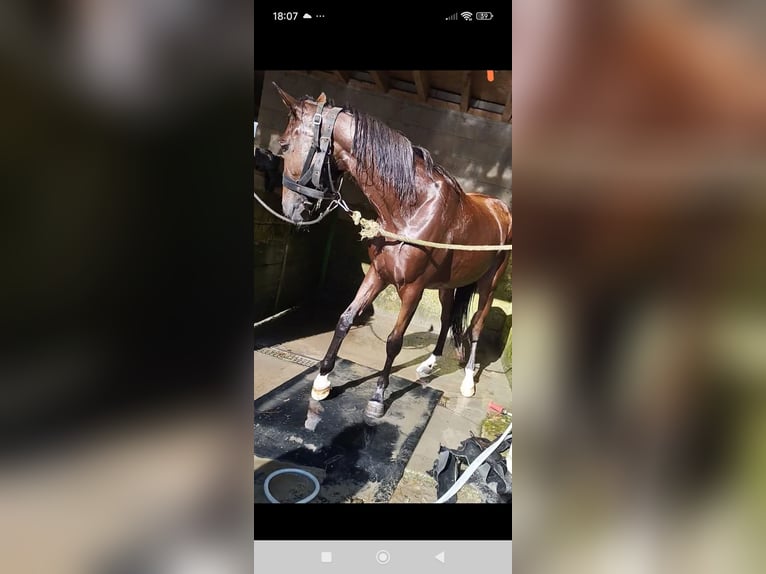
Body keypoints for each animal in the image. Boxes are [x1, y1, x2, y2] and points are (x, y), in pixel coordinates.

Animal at [272, 83, 512, 418]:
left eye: (284, 145)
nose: (290, 209)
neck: (409, 210)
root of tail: (500, 208)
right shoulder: (377, 273)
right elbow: (345, 319)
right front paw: (322, 381)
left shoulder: (412, 289)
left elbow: (394, 341)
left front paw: (378, 395)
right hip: (446, 285)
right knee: (448, 318)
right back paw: (429, 365)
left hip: (488, 284)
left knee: (475, 327)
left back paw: (467, 382)